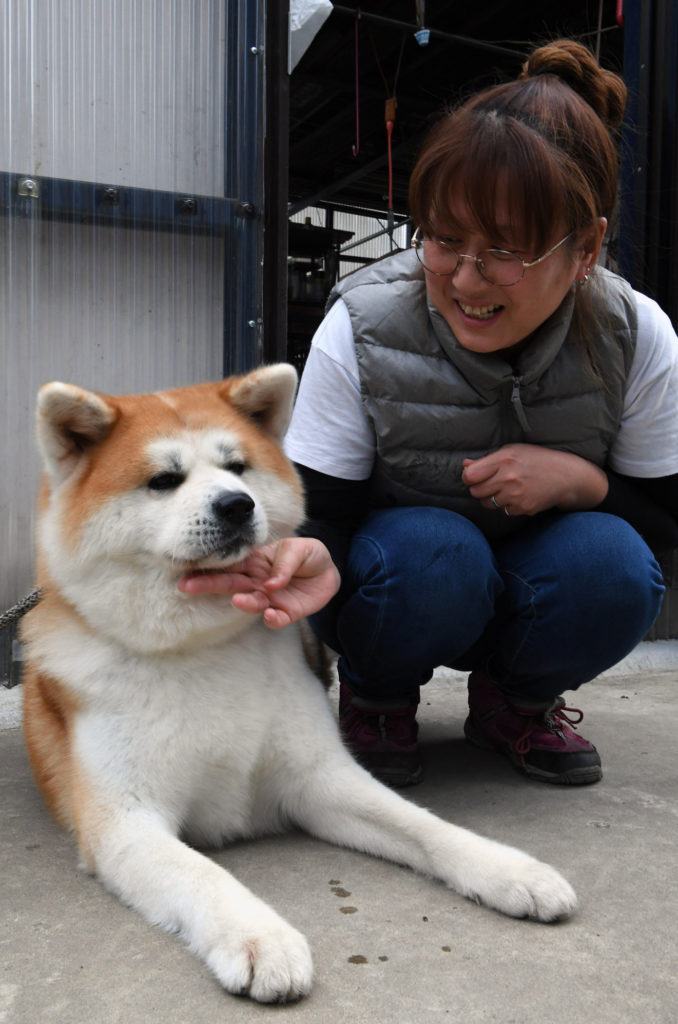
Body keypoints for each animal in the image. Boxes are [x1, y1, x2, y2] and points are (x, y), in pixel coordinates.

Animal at [21, 366, 577, 999]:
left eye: (238, 467)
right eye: (163, 480)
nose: (236, 505)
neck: (202, 647)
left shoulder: (320, 780)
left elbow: (424, 826)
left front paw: (509, 868)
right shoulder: (124, 822)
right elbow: (202, 873)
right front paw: (259, 936)